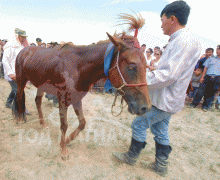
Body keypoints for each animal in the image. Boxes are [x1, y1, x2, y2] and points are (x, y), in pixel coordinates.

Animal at [13, 33, 151, 160]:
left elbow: (82, 123)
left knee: (37, 101)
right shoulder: (63, 99)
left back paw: (42, 123)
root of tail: (23, 50)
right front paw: (63, 151)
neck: (78, 67)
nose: (145, 107)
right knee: (19, 96)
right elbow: (64, 125)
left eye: (147, 67)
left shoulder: (76, 98)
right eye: (132, 66)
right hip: (21, 79)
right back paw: (19, 119)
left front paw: (67, 140)